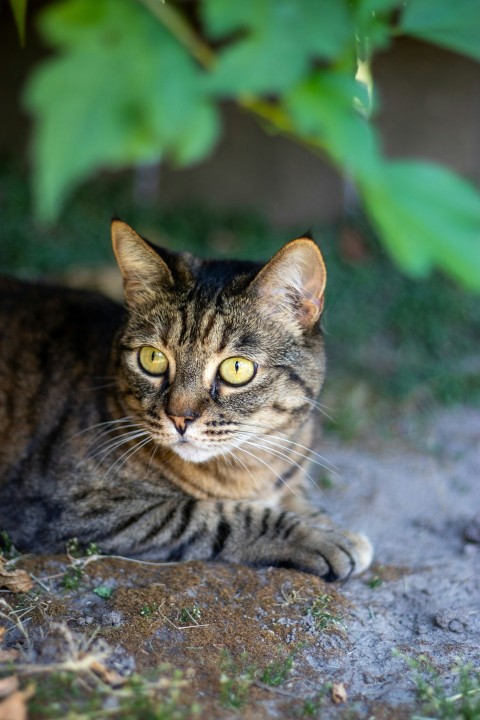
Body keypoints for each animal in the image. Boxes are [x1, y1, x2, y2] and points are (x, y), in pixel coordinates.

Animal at [0, 219, 372, 580]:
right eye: (152, 358)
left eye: (237, 368)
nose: (180, 417)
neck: (248, 470)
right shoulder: (74, 508)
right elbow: (214, 515)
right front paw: (318, 536)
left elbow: (296, 498)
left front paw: (328, 524)